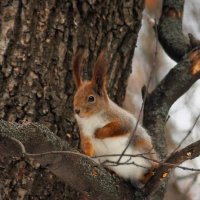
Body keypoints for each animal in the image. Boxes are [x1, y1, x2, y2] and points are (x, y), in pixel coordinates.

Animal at [72, 50, 157, 184]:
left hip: (143, 147)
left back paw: (151, 171)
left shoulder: (121, 120)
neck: (92, 118)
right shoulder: (84, 131)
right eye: (75, 96)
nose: (77, 110)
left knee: (151, 165)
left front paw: (99, 133)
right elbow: (87, 144)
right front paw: (87, 153)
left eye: (91, 98)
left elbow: (117, 128)